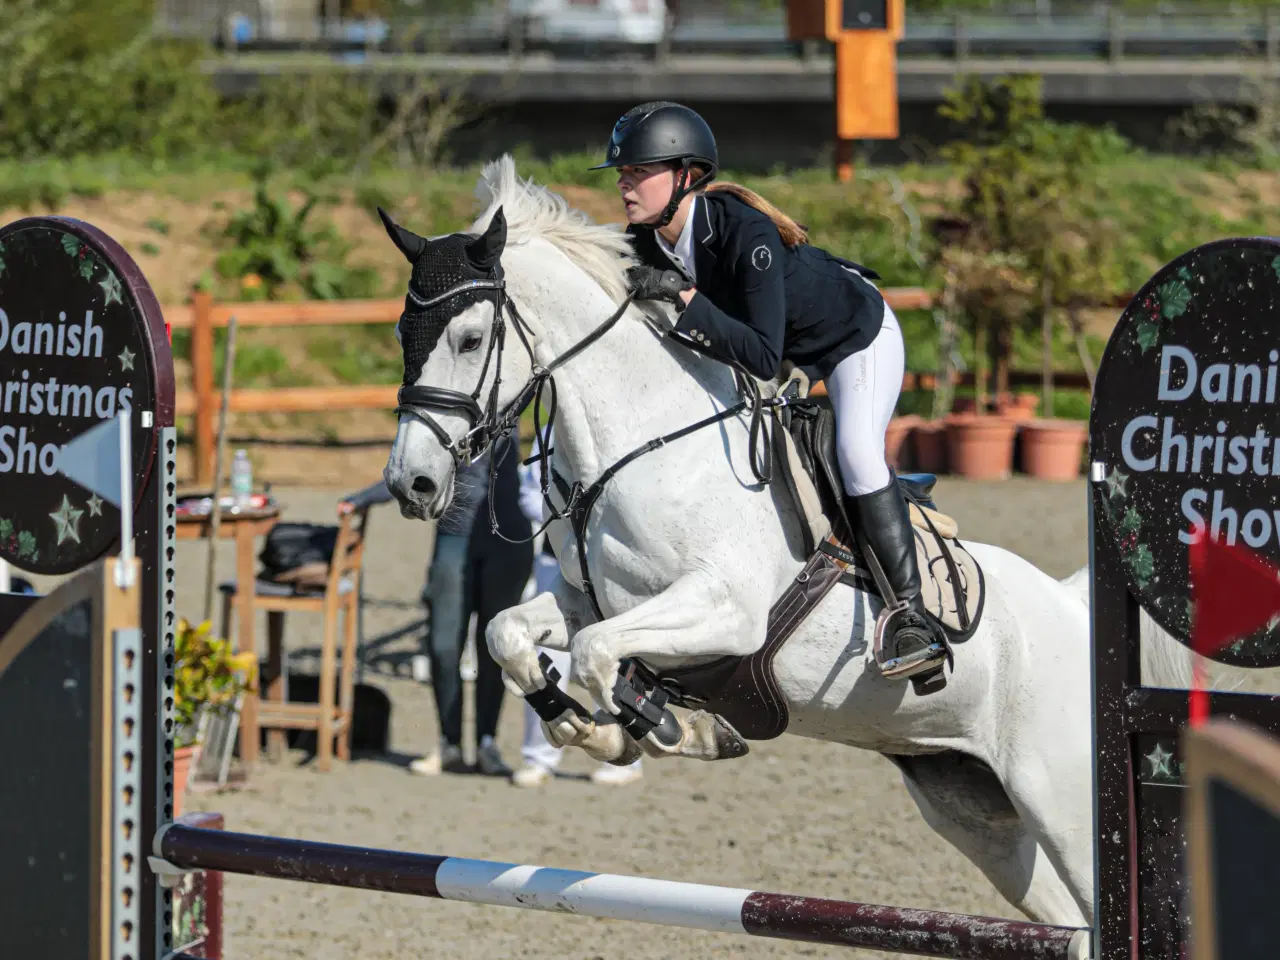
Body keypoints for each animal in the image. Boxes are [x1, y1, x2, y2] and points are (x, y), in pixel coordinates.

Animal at [378, 158, 1187, 931]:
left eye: (470, 339)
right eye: (403, 337)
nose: (411, 484)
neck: (644, 440)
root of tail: (1071, 607)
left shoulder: (725, 610)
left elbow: (598, 655)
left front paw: (672, 727)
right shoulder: (590, 600)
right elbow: (512, 634)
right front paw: (597, 730)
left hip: (1063, 802)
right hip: (978, 811)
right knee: (1069, 918)